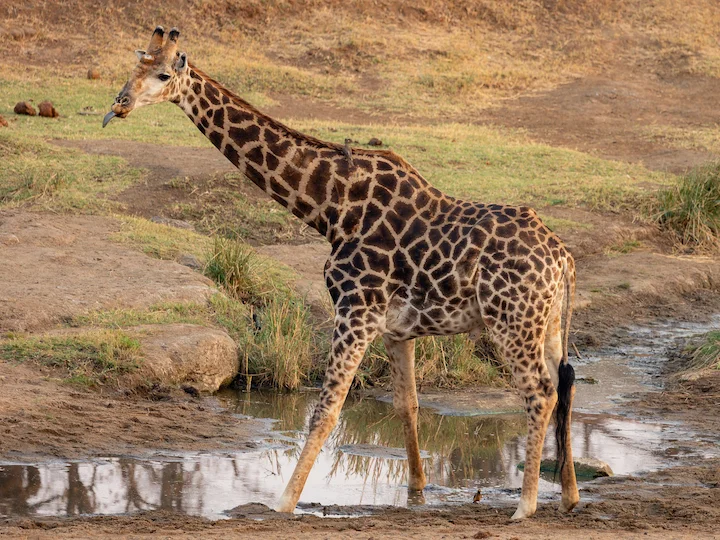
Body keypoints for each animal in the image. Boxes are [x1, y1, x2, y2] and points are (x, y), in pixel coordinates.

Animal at [105, 27, 580, 520]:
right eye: (134, 66)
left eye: (163, 74)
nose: (120, 103)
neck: (332, 206)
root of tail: (563, 258)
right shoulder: (395, 328)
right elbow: (407, 405)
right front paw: (416, 492)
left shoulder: (355, 310)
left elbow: (326, 410)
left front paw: (283, 503)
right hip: (545, 324)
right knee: (564, 385)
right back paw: (569, 495)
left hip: (511, 322)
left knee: (541, 392)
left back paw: (525, 505)